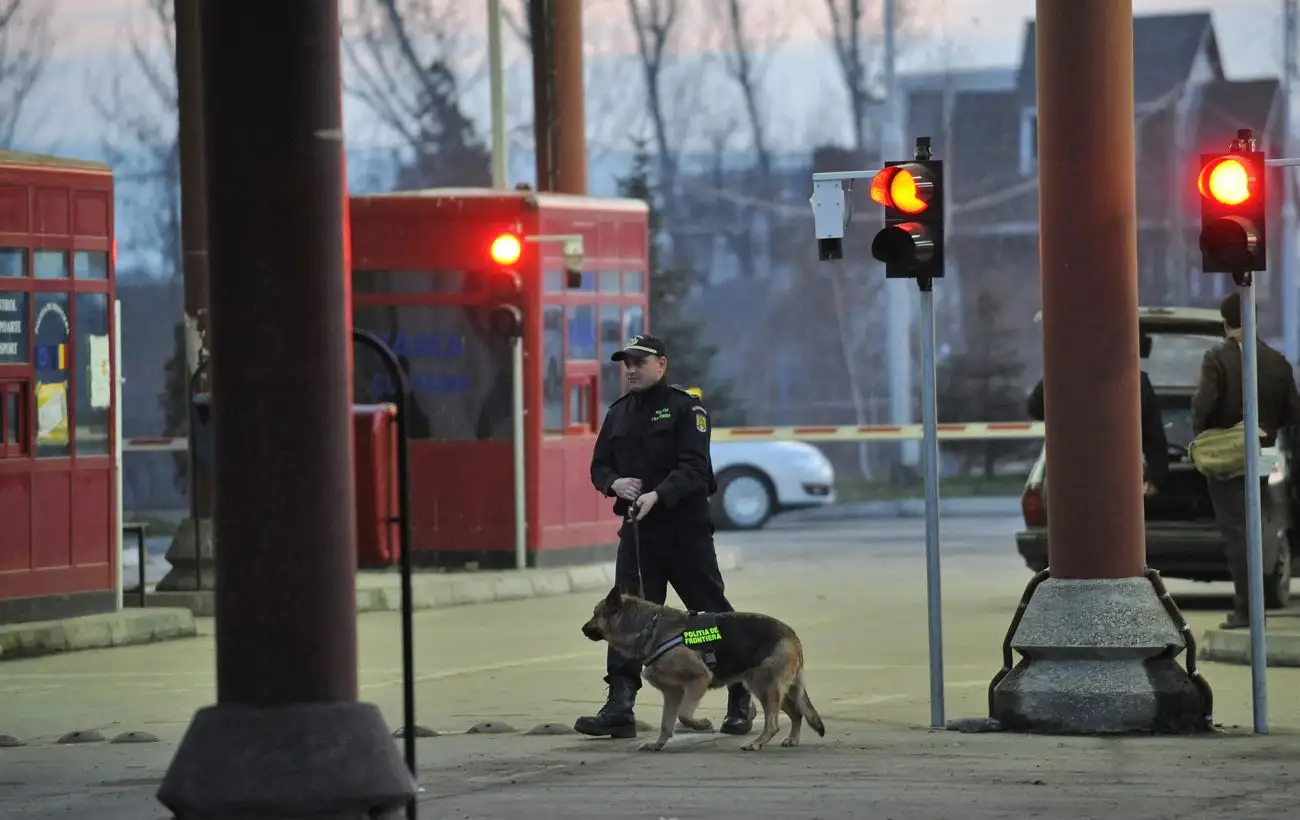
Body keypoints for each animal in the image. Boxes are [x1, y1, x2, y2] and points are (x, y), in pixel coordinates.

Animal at [579, 587, 821, 753]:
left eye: (595, 614)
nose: (582, 628)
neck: (649, 628)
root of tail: (791, 634)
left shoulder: (698, 680)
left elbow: (684, 715)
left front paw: (702, 724)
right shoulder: (672, 693)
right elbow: (666, 723)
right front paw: (658, 744)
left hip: (765, 688)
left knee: (774, 723)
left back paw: (757, 743)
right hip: (776, 690)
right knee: (797, 713)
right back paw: (792, 739)